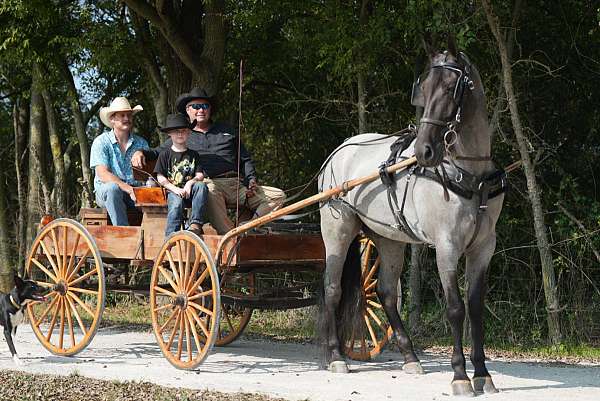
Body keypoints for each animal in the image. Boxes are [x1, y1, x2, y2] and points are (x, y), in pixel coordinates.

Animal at [318, 39, 506, 394]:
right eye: (424, 89)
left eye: (449, 88)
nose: (423, 151)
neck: (470, 175)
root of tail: (340, 149)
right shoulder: (447, 247)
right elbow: (456, 308)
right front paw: (460, 376)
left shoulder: (483, 248)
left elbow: (476, 308)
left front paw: (482, 373)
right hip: (337, 229)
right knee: (332, 288)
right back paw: (336, 357)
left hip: (389, 239)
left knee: (386, 293)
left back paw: (410, 357)